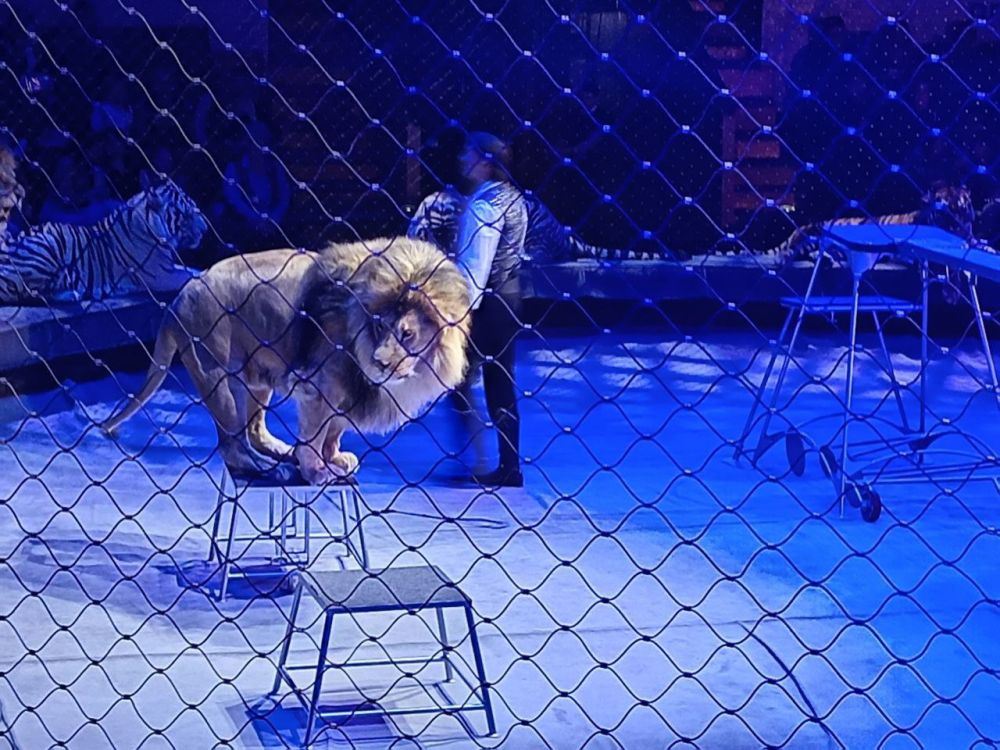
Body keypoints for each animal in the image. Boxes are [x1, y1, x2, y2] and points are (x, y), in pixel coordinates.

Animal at [0, 179, 208, 305]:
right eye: (186, 213)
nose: (206, 228)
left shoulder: (168, 267)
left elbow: (194, 270)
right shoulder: (162, 275)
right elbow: (194, 274)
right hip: (47, 247)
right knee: (24, 293)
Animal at [101, 237, 471, 484]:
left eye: (407, 334)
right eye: (380, 326)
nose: (379, 362)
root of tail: (175, 301)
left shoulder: (346, 394)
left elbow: (334, 431)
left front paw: (334, 459)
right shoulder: (321, 386)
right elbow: (315, 434)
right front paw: (316, 470)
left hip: (256, 377)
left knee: (254, 431)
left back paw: (281, 451)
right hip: (218, 376)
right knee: (232, 446)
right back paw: (273, 468)